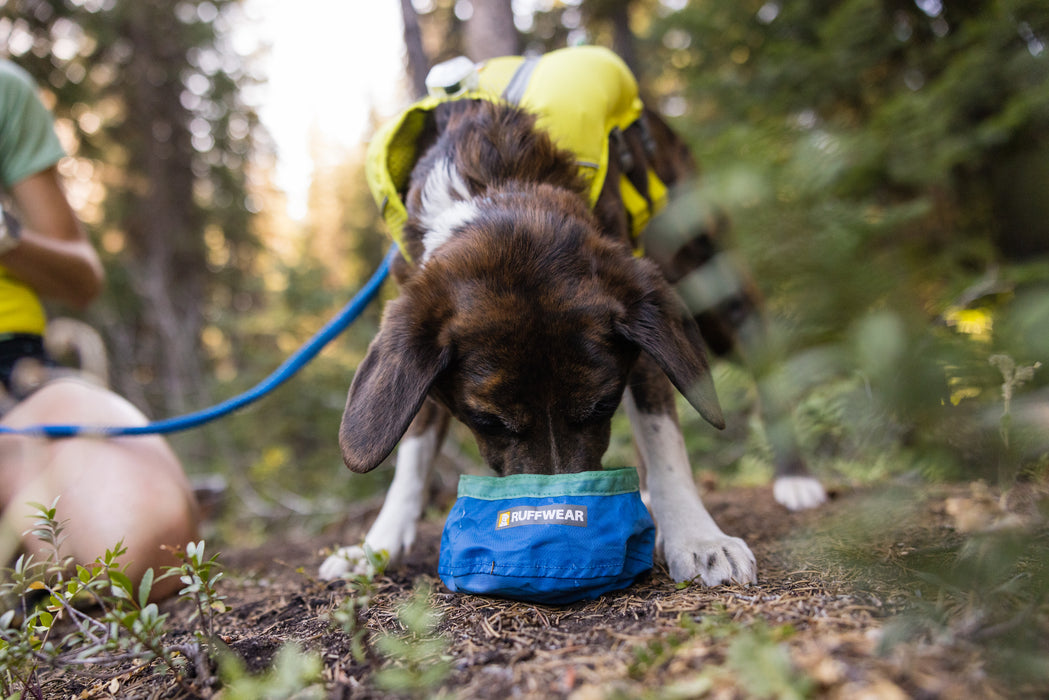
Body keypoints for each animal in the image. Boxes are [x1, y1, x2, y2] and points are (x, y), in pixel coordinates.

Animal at [318, 48, 818, 587]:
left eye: (602, 406)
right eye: (487, 420)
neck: (496, 182)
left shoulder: (643, 327)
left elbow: (663, 440)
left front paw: (698, 538)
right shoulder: (414, 338)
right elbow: (412, 449)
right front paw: (375, 547)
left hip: (712, 290)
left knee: (763, 365)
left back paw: (795, 477)